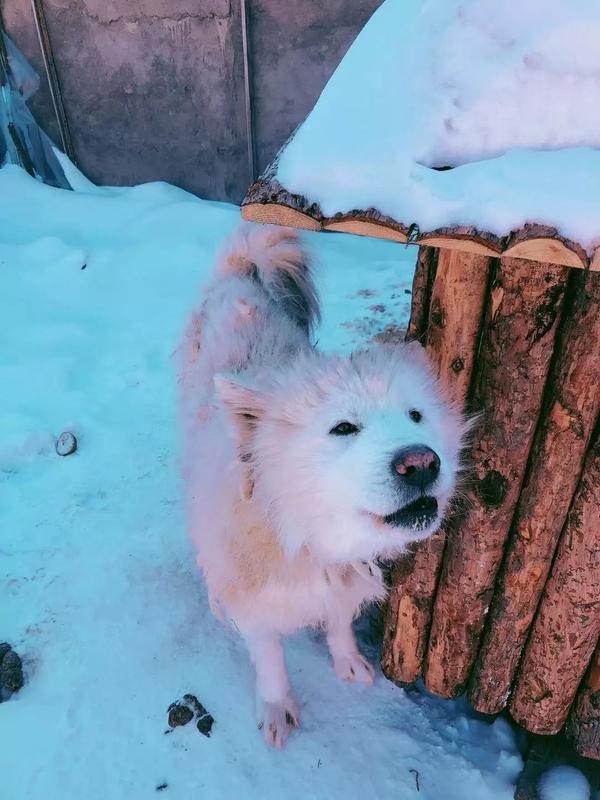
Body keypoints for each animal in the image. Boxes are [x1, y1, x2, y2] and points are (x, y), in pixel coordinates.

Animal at [176, 225, 466, 752]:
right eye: (344, 428)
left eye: (416, 415)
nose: (421, 464)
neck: (303, 536)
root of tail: (240, 271)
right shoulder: (254, 601)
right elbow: (270, 656)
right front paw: (277, 708)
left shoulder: (346, 578)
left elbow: (339, 622)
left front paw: (347, 660)